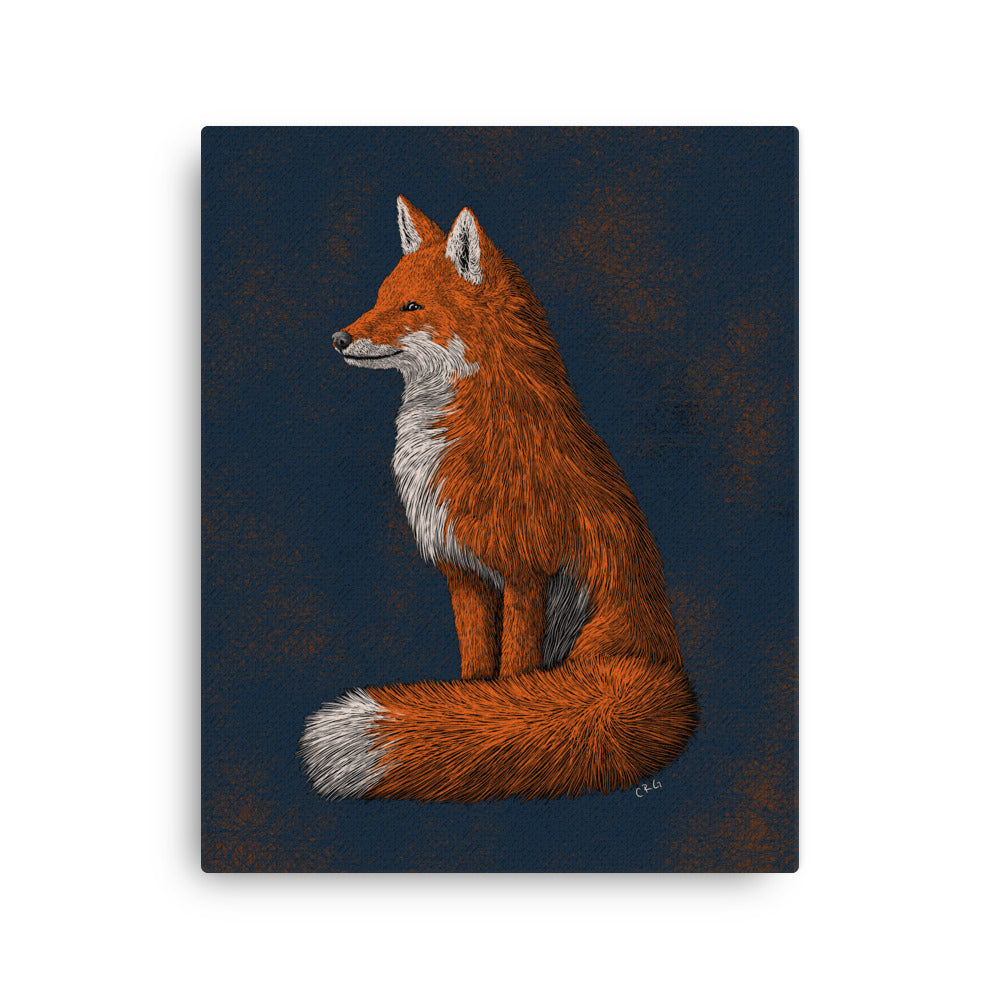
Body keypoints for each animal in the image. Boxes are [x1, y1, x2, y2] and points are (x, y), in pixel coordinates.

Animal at [299, 197, 698, 802]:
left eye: (410, 306)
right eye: (380, 297)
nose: (339, 339)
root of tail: (662, 663)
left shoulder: (525, 573)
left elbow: (512, 676)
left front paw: (494, 715)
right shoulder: (464, 573)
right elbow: (477, 674)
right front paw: (467, 710)